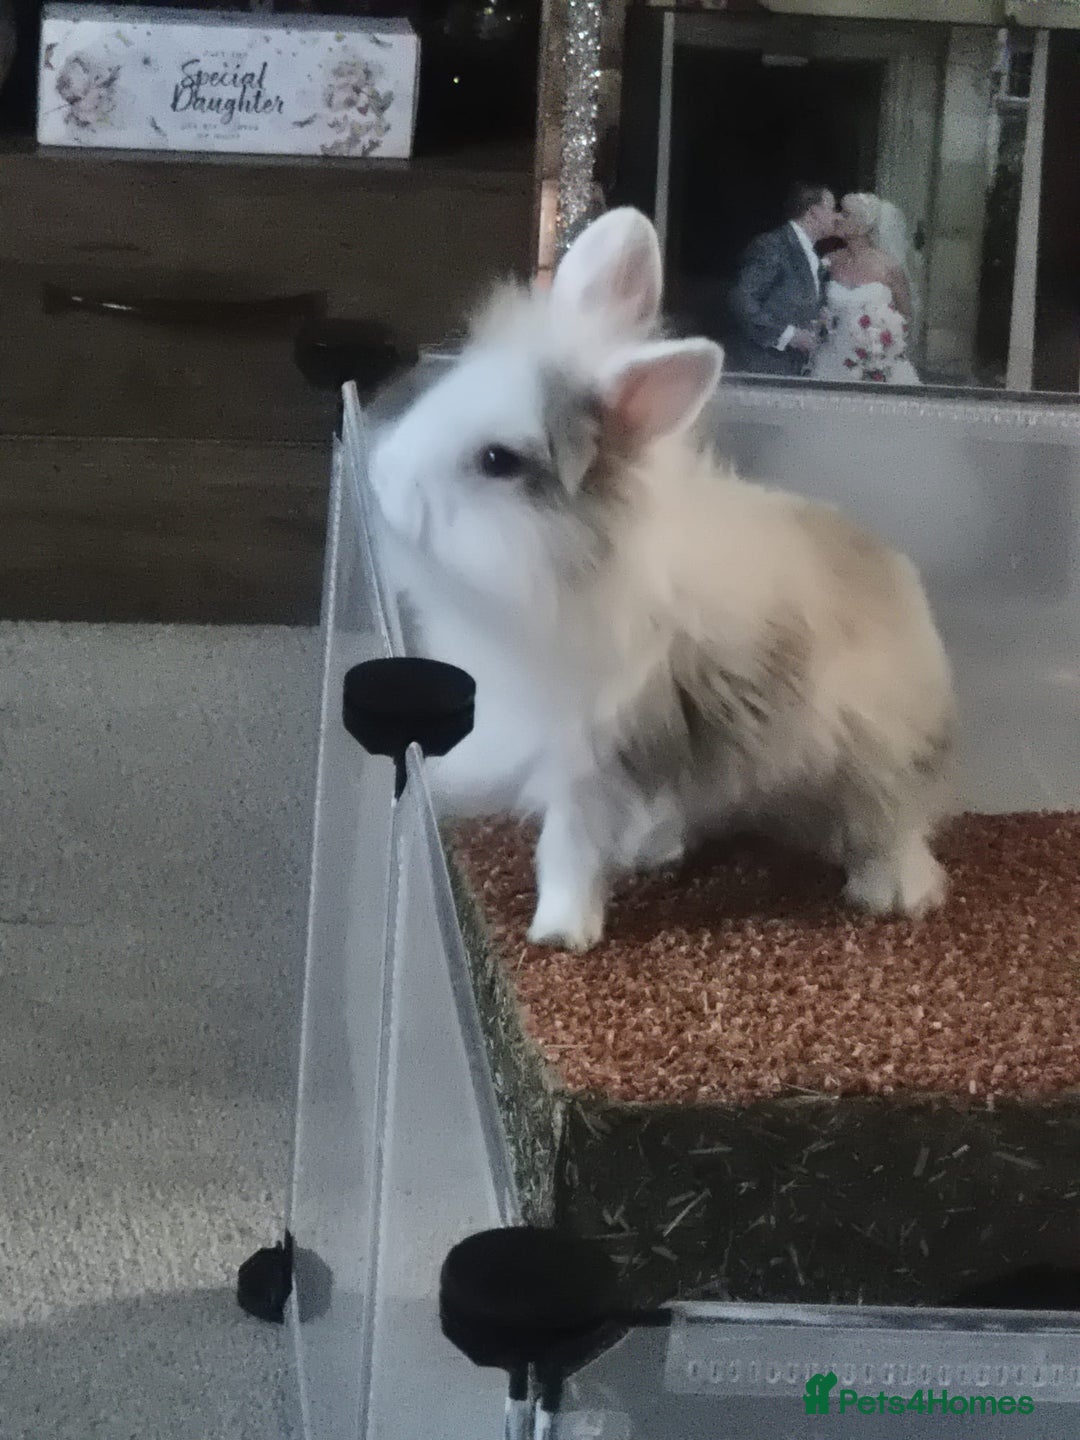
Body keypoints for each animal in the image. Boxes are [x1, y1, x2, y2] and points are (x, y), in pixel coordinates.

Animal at [368, 207, 957, 953]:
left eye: (499, 461)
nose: (380, 479)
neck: (579, 569)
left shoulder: (588, 759)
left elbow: (565, 850)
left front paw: (559, 934)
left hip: (876, 759)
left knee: (895, 826)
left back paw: (891, 895)